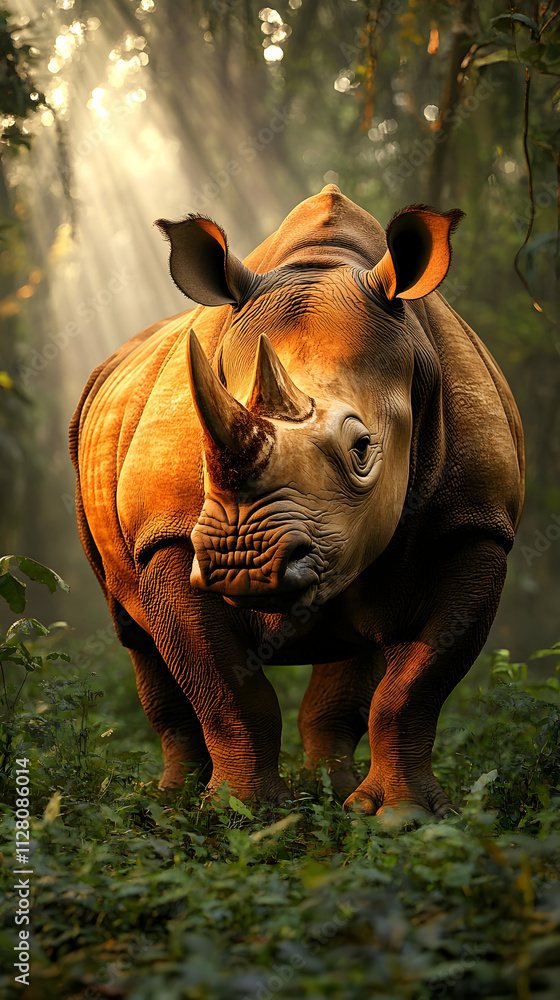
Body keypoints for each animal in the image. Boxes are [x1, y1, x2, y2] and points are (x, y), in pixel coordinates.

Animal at [70, 184, 524, 817]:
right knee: (134, 635)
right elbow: (226, 688)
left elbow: (414, 688)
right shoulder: (166, 536)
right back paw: (172, 801)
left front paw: (405, 819)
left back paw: (340, 795)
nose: (241, 562)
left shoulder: (476, 525)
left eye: (362, 449)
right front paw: (241, 814)